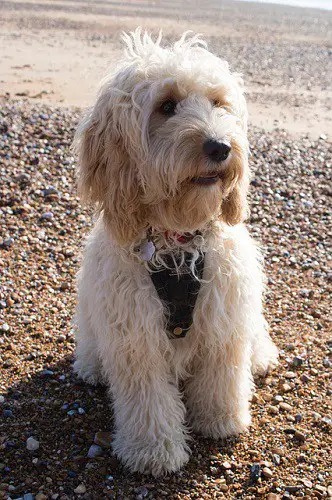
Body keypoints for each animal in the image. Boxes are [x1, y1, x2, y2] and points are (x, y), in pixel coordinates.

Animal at [72, 30, 278, 476]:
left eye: (218, 103)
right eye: (166, 106)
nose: (220, 147)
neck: (179, 240)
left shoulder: (224, 318)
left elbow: (221, 377)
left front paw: (221, 420)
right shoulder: (134, 333)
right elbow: (147, 398)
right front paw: (154, 451)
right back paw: (92, 366)